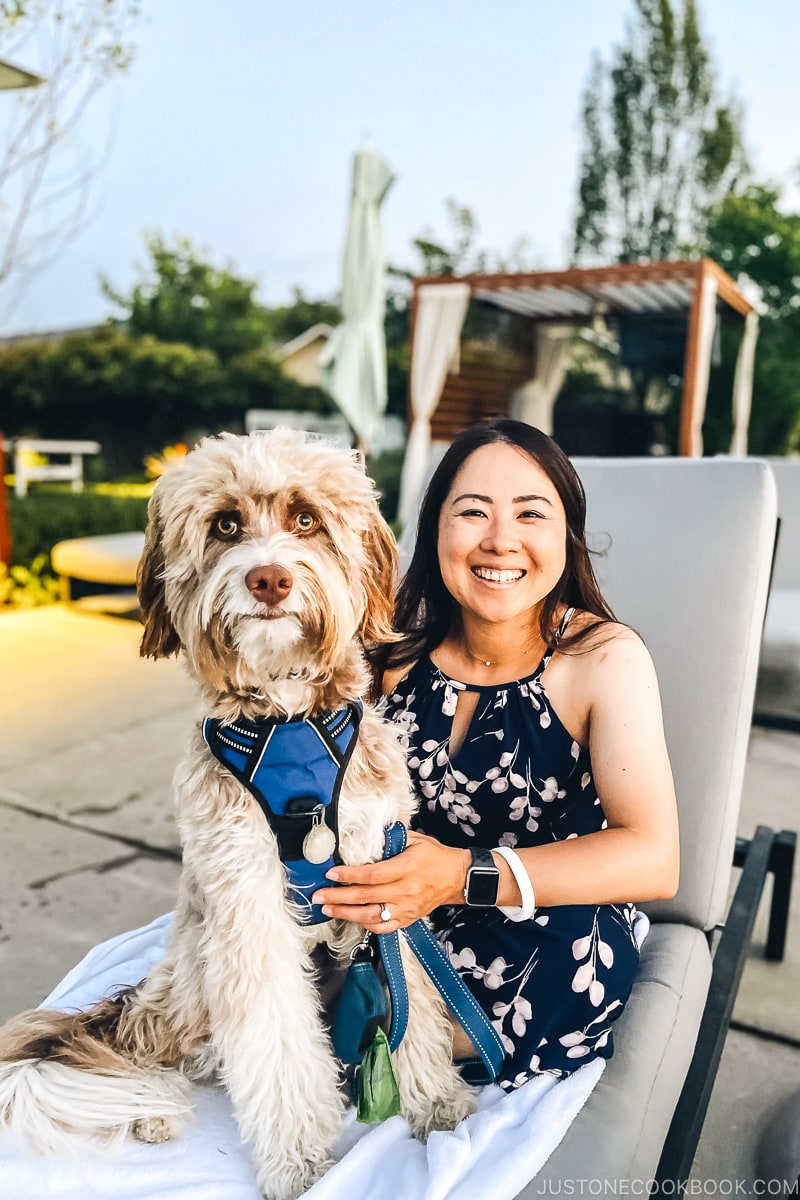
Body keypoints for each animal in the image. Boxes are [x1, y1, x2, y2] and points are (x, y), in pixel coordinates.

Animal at [0, 429, 474, 1200]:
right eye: (225, 525)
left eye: (307, 519)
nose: (270, 579)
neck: (288, 721)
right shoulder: (245, 902)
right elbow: (275, 1042)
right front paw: (300, 1165)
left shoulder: (386, 875)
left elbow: (418, 1001)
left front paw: (437, 1102)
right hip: (194, 969)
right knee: (153, 1045)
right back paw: (151, 1110)